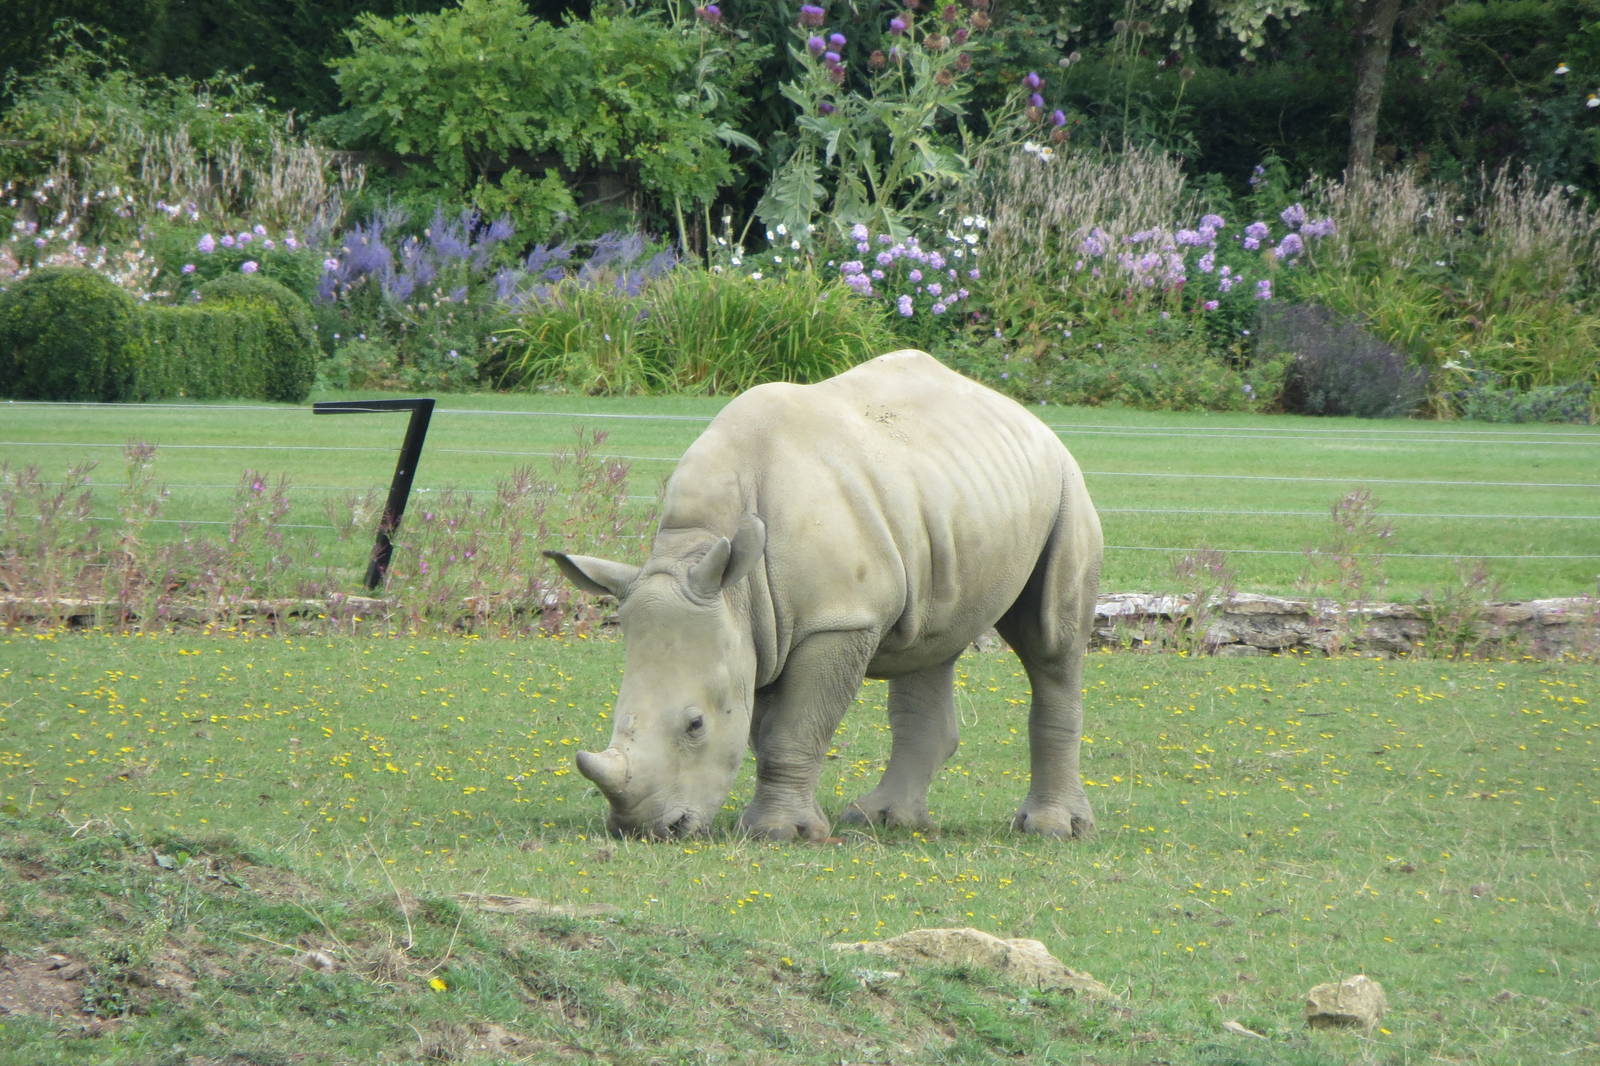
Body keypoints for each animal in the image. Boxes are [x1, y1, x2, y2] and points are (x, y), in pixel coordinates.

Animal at [545, 350, 1103, 841]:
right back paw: (884, 821)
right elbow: (765, 731)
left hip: (1066, 486)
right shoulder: (757, 628)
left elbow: (792, 730)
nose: (644, 830)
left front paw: (777, 834)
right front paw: (790, 825)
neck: (708, 559)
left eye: (695, 725)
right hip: (948, 497)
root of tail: (1024, 414)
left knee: (1051, 644)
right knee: (930, 643)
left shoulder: (836, 621)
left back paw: (1053, 830)